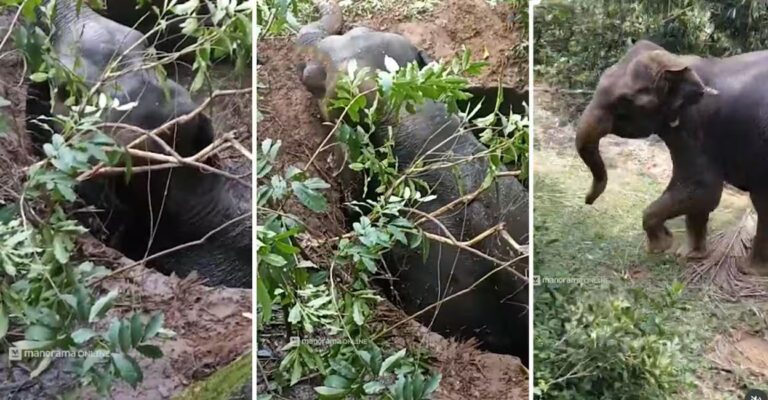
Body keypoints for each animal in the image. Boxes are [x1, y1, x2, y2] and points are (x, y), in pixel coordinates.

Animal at [575, 39, 768, 276]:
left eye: (624, 101)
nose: (587, 201)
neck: (679, 61)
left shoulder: (696, 126)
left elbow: (702, 188)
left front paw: (661, 246)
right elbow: (698, 195)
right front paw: (688, 255)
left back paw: (749, 270)